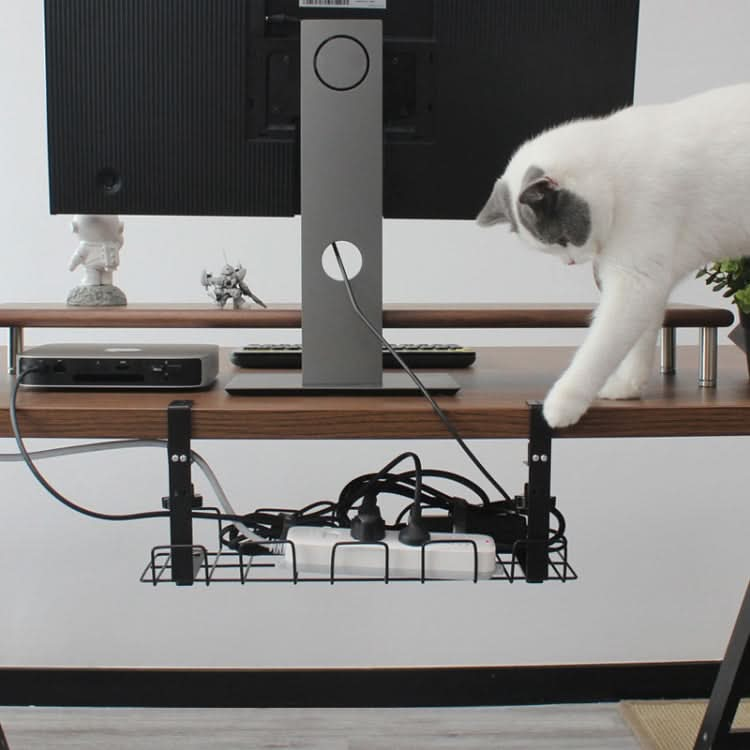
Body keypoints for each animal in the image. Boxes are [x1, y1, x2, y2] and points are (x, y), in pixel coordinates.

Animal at [478, 82, 750, 428]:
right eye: (550, 248)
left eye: (563, 239)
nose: (569, 262)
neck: (614, 179)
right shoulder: (651, 277)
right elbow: (640, 336)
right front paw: (628, 387)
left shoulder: (634, 280)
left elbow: (599, 348)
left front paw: (561, 404)